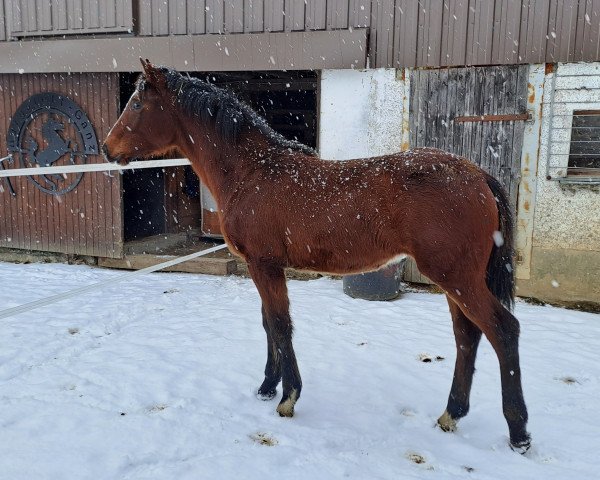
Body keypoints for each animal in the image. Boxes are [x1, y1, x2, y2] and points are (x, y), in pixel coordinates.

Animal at [102, 60, 528, 454]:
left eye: (137, 103)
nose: (107, 148)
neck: (251, 171)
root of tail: (478, 175)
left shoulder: (263, 265)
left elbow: (280, 324)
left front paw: (288, 397)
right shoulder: (263, 267)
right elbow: (268, 324)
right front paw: (267, 386)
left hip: (457, 278)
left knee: (503, 330)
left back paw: (518, 433)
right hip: (456, 282)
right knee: (467, 336)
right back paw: (451, 414)